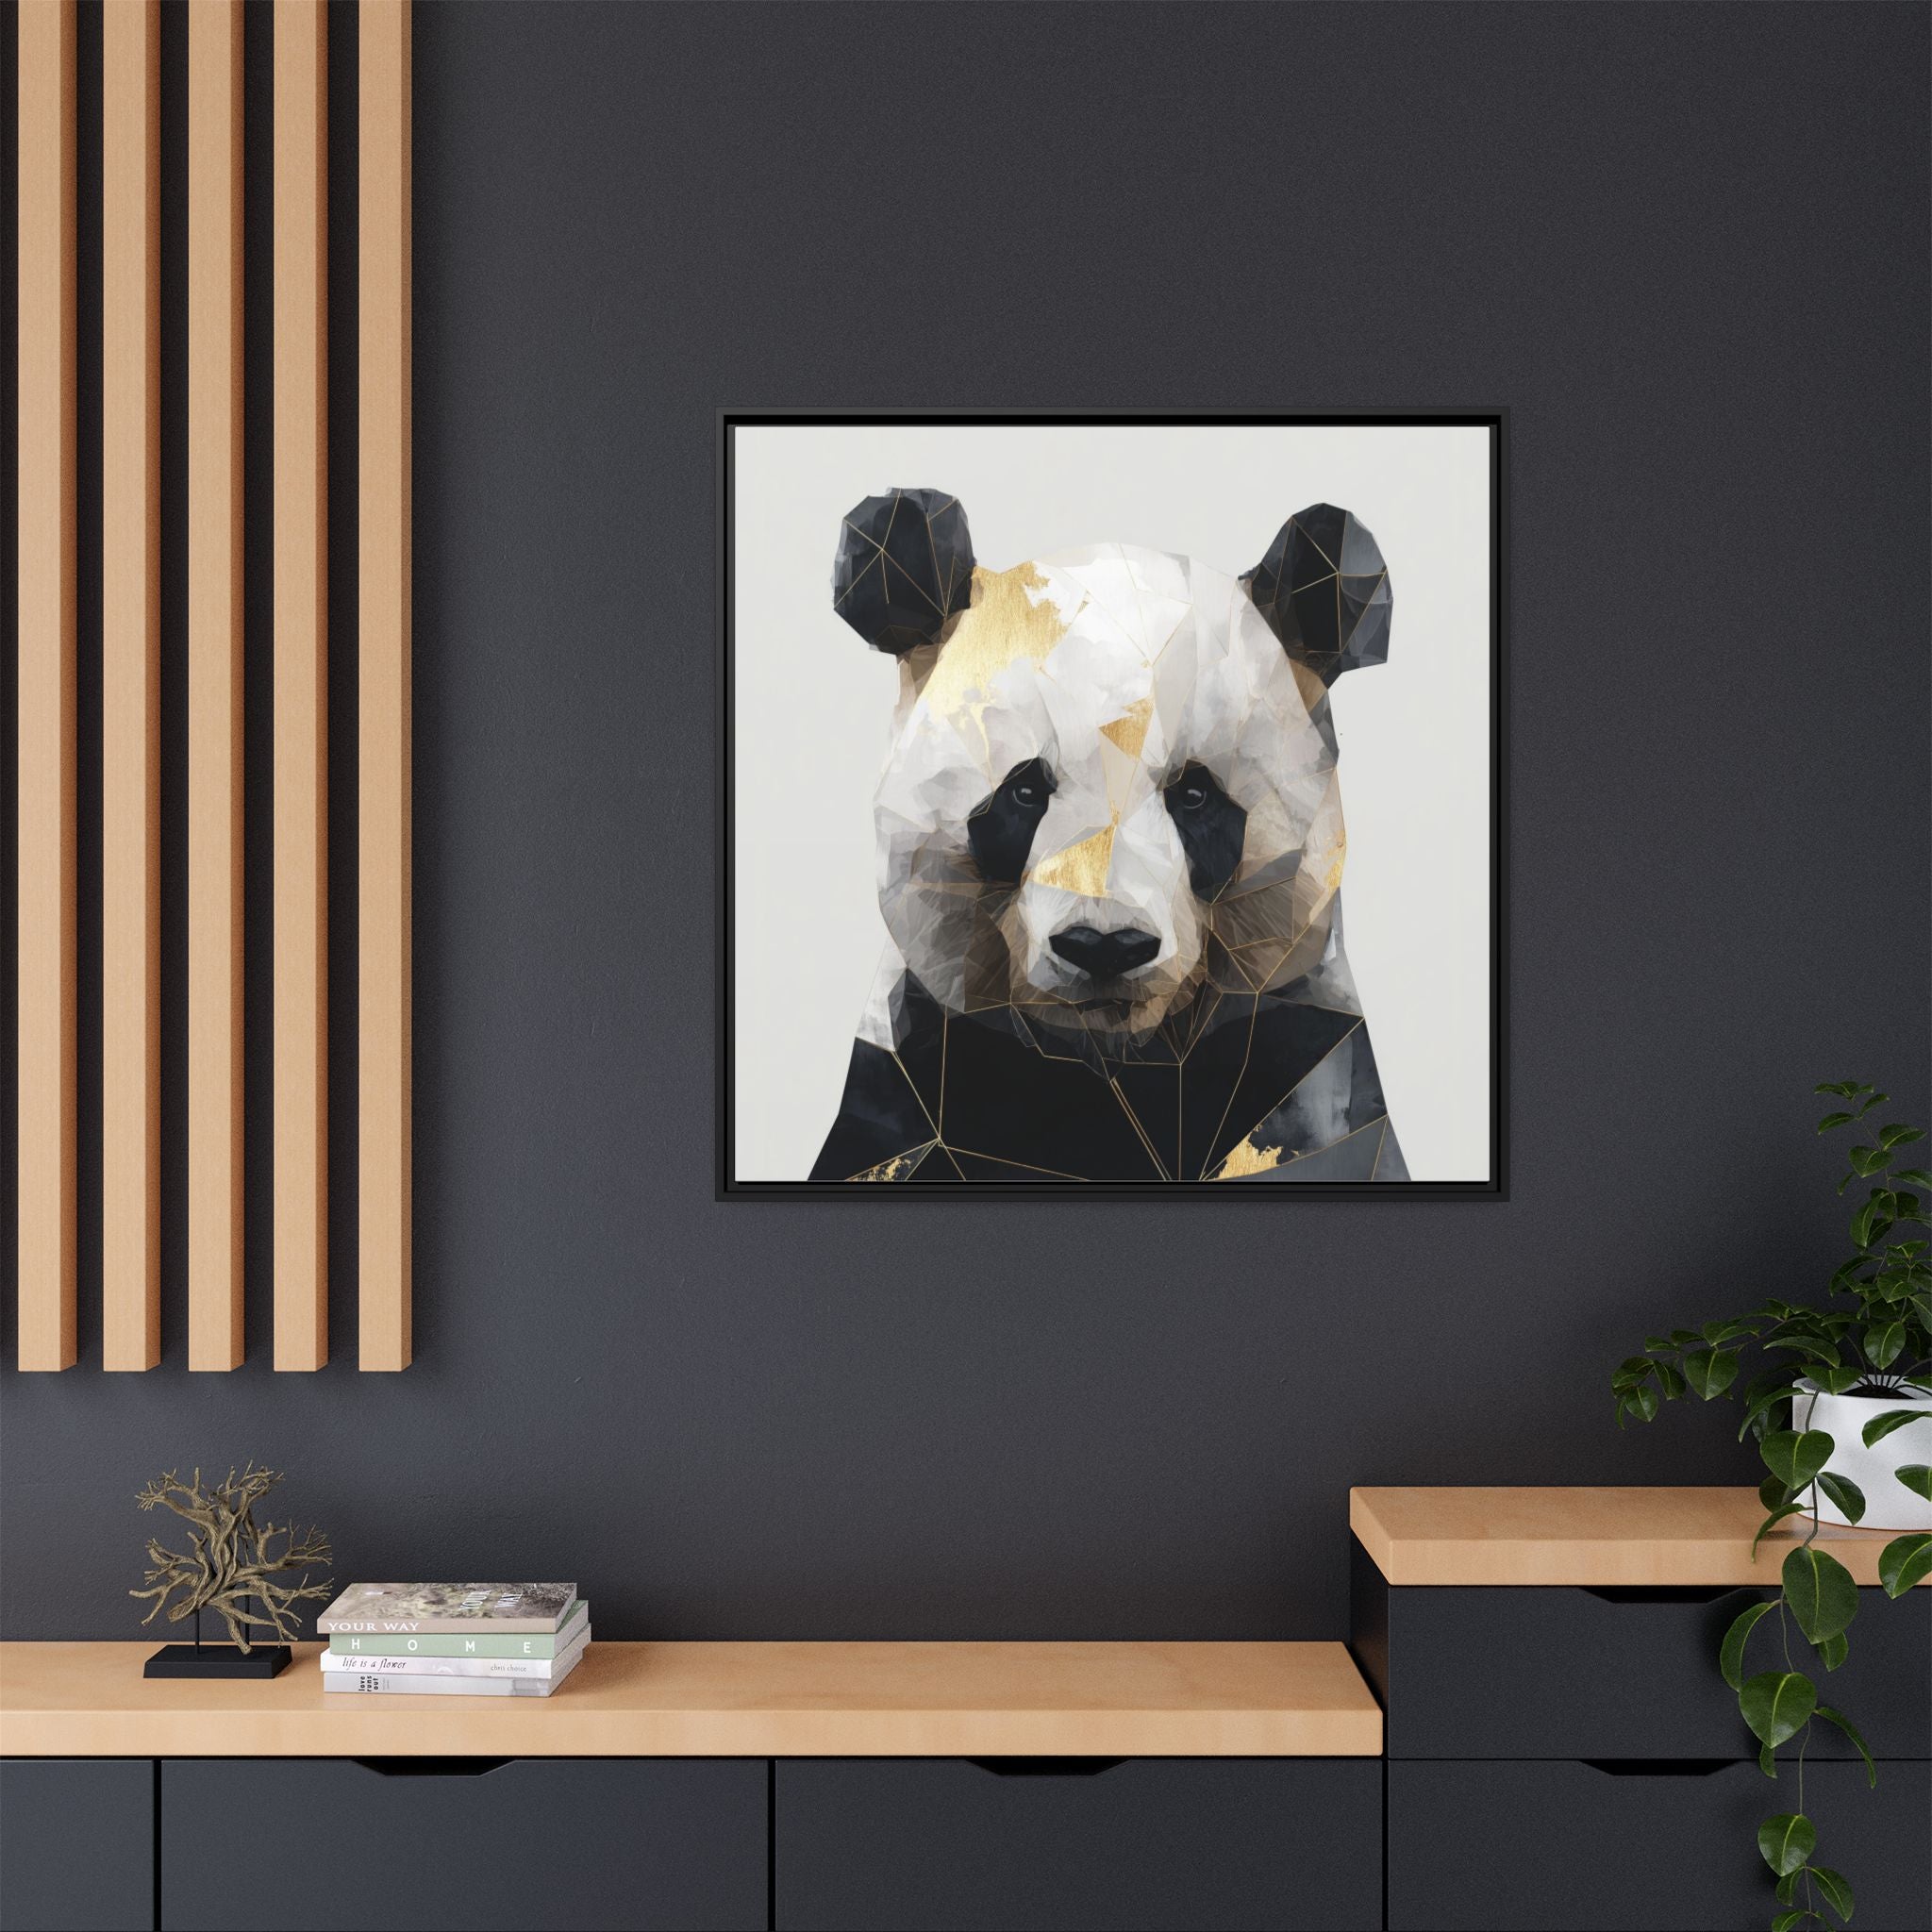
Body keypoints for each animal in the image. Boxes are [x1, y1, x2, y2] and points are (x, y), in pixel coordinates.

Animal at [811, 488, 1406, 1184]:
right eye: (1024, 792)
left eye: (1195, 795)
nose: (1104, 946)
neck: (1118, 1059)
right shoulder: (918, 1076)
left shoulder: (1297, 1062)